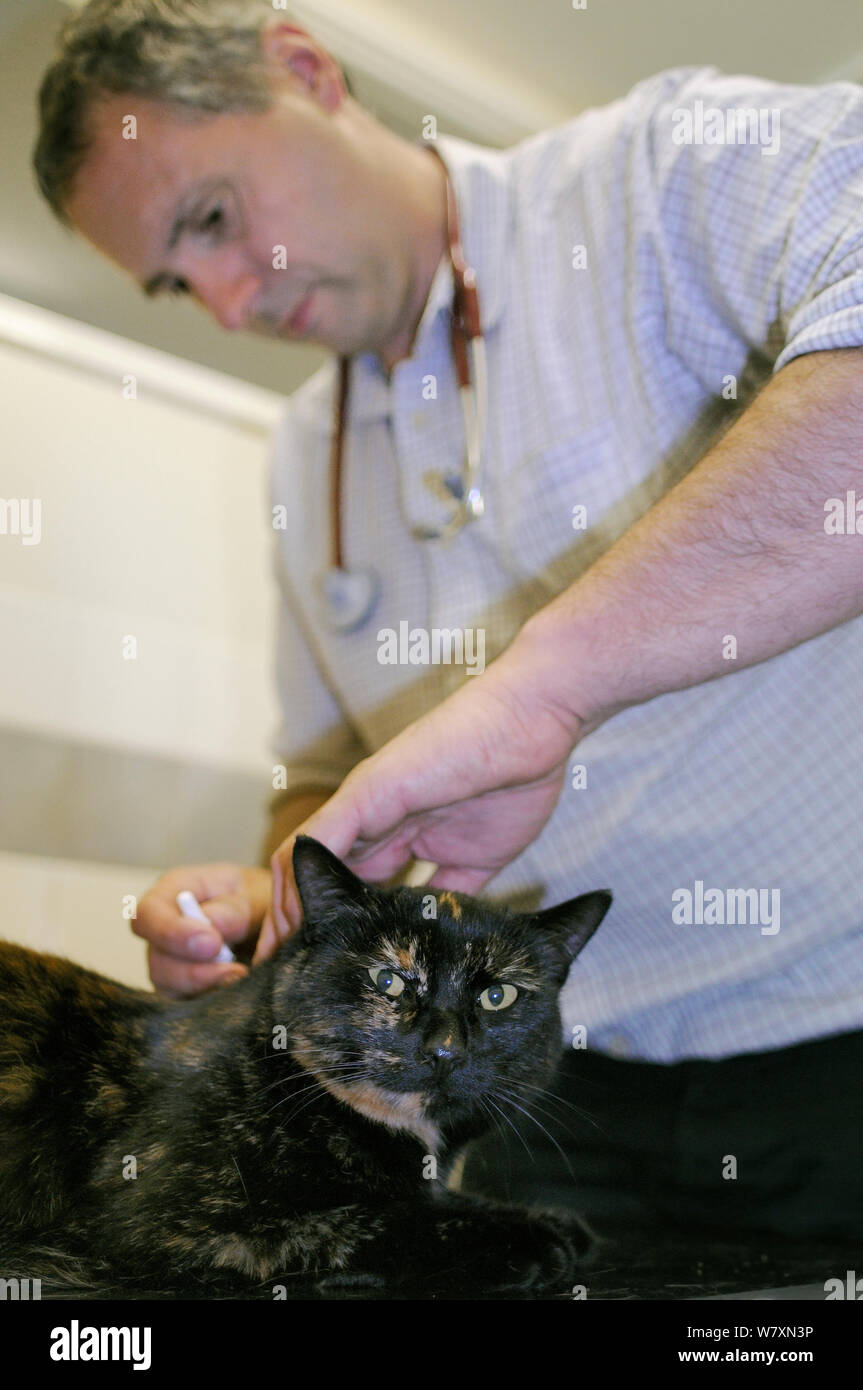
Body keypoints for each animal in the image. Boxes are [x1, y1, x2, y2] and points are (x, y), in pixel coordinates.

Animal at [0, 828, 608, 1295]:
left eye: (497, 996)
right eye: (388, 980)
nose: (445, 1049)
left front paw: (540, 1217)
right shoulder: (161, 1226)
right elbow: (358, 1224)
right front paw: (522, 1240)